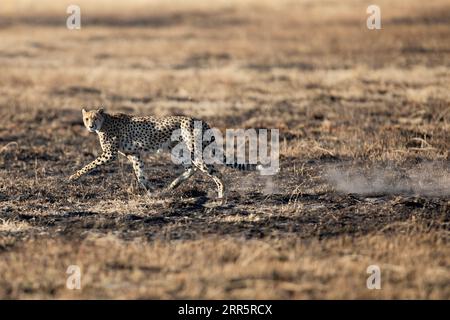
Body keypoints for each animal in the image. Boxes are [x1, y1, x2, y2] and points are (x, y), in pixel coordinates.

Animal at [69, 109, 260, 199]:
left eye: (95, 118)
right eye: (87, 118)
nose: (90, 125)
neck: (105, 121)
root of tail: (199, 120)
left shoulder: (110, 154)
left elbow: (89, 165)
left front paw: (73, 177)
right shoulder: (134, 154)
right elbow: (140, 175)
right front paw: (152, 192)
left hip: (193, 150)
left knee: (214, 172)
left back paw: (221, 195)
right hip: (180, 150)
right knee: (191, 168)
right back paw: (172, 186)